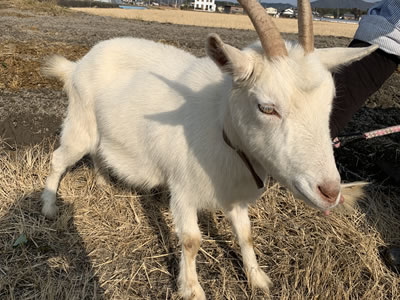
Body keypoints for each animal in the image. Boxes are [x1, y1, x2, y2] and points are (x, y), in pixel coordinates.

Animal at [42, 0, 376, 298]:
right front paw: (191, 289)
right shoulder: (183, 189)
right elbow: (191, 241)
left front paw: (258, 279)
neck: (221, 123)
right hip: (81, 122)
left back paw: (102, 181)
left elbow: (246, 235)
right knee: (60, 157)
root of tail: (77, 65)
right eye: (266, 107)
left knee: (99, 152)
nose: (330, 192)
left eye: (329, 103)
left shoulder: (234, 193)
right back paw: (48, 206)